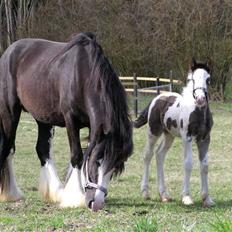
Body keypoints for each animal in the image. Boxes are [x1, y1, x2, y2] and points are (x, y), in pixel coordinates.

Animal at [0, 32, 132, 212]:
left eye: (115, 167)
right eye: (97, 161)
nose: (97, 203)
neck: (83, 75)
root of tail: (9, 52)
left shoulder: (93, 127)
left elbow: (83, 154)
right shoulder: (71, 120)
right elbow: (77, 156)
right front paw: (75, 197)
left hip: (43, 117)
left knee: (42, 150)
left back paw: (55, 193)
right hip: (10, 111)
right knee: (8, 148)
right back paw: (11, 194)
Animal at [133, 59, 215, 208]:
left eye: (208, 79)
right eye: (192, 79)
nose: (200, 99)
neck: (197, 111)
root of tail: (157, 98)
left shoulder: (205, 139)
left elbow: (205, 165)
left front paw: (206, 198)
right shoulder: (187, 138)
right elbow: (188, 163)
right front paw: (186, 197)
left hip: (169, 135)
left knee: (159, 155)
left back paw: (164, 195)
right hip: (153, 132)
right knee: (148, 155)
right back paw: (145, 192)